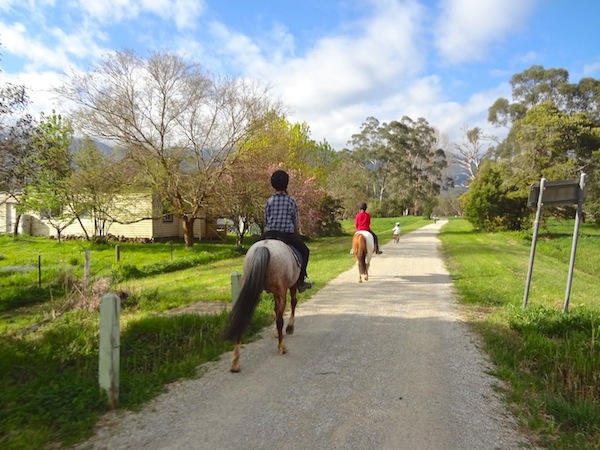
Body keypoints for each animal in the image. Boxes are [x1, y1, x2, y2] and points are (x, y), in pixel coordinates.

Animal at [224, 239, 302, 372]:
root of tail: (264, 247)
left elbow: (276, 309)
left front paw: (278, 332)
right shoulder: (291, 286)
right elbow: (292, 303)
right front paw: (289, 328)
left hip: (250, 288)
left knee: (243, 317)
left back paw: (235, 362)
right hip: (281, 290)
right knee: (280, 318)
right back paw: (282, 347)